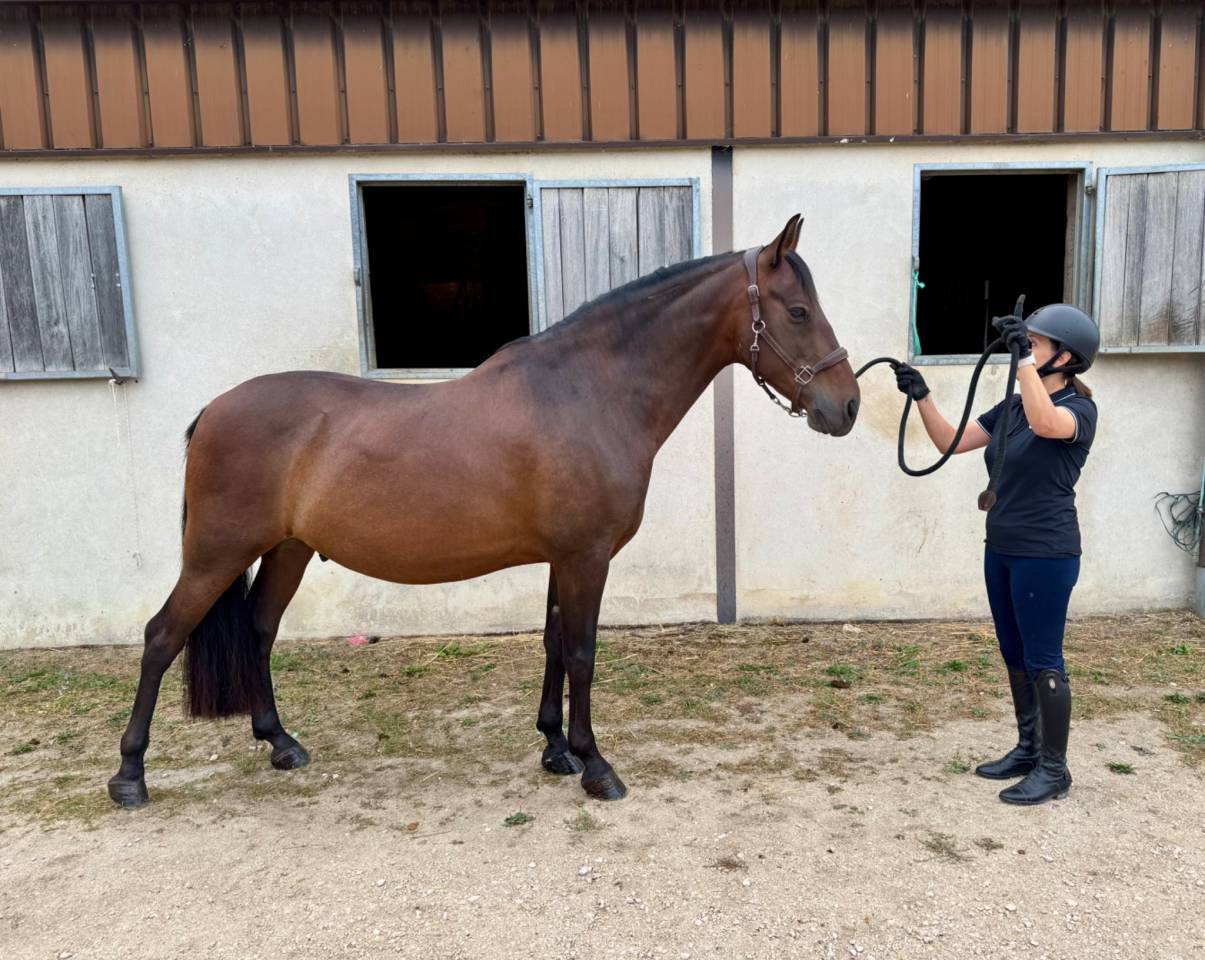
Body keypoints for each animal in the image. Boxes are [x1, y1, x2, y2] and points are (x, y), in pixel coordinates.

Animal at [106, 214, 860, 807]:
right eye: (797, 311)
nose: (846, 407)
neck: (590, 391)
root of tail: (214, 409)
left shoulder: (563, 558)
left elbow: (554, 644)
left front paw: (557, 750)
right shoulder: (587, 557)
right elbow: (582, 652)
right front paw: (598, 767)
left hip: (286, 549)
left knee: (259, 631)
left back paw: (281, 743)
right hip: (216, 552)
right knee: (161, 637)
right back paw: (130, 776)